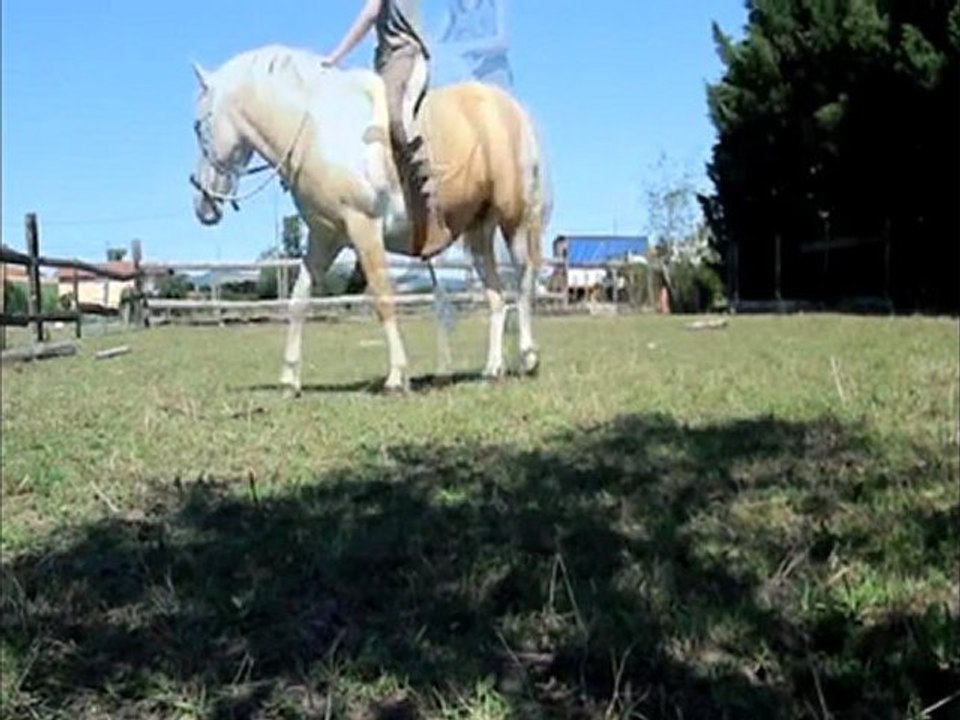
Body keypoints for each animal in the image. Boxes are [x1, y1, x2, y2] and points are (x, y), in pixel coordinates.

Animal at [188, 44, 552, 395]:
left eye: (198, 125)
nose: (202, 204)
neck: (318, 129)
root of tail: (512, 109)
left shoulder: (364, 228)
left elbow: (382, 298)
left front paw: (397, 376)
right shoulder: (324, 238)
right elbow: (298, 299)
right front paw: (289, 379)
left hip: (515, 221)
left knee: (523, 283)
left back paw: (528, 358)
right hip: (478, 232)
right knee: (496, 296)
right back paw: (492, 369)